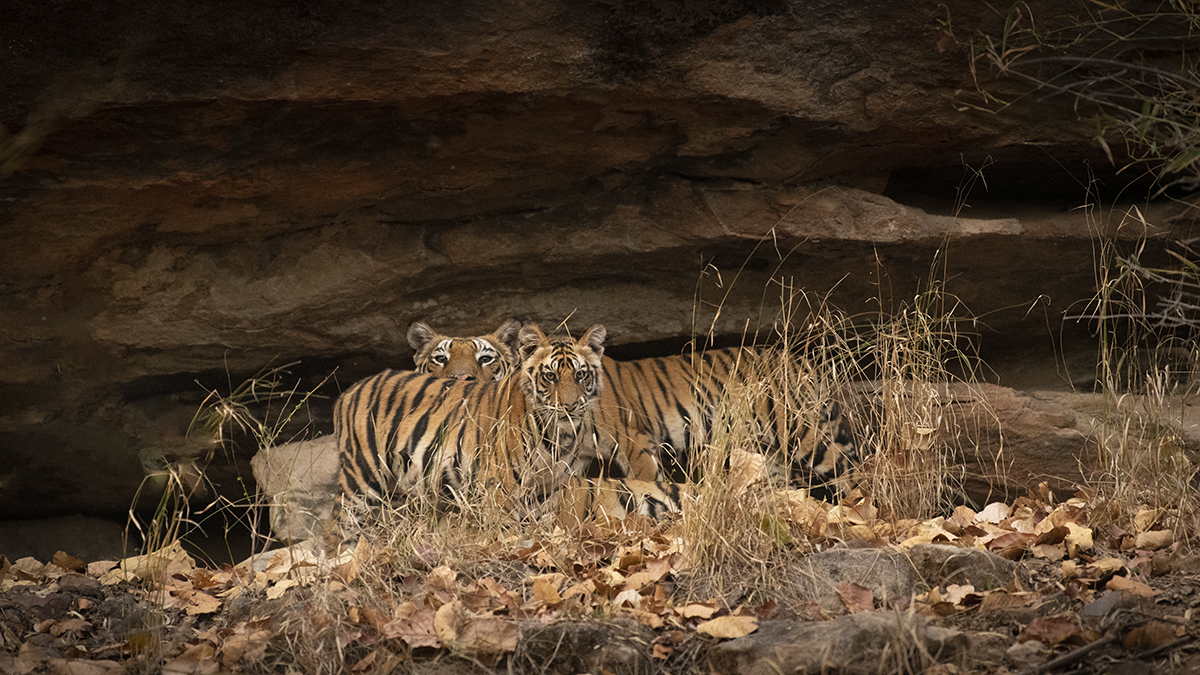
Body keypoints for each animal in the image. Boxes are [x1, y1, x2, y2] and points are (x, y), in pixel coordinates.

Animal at [333, 319, 686, 526]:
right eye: (550, 376)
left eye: (581, 375)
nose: (570, 405)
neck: (560, 435)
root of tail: (349, 390)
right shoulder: (499, 490)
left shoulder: (553, 487)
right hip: (361, 480)